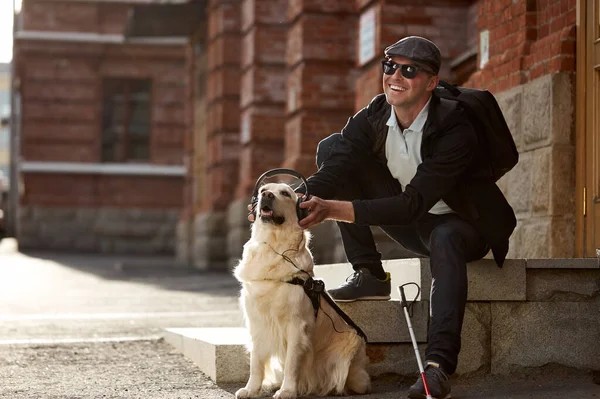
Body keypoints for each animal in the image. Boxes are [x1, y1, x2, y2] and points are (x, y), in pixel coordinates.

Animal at [232, 183, 368, 398]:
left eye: (285, 193)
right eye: (263, 190)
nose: (267, 195)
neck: (274, 249)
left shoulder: (296, 326)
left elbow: (291, 363)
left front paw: (287, 391)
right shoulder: (258, 323)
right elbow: (256, 362)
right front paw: (251, 389)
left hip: (351, 347)